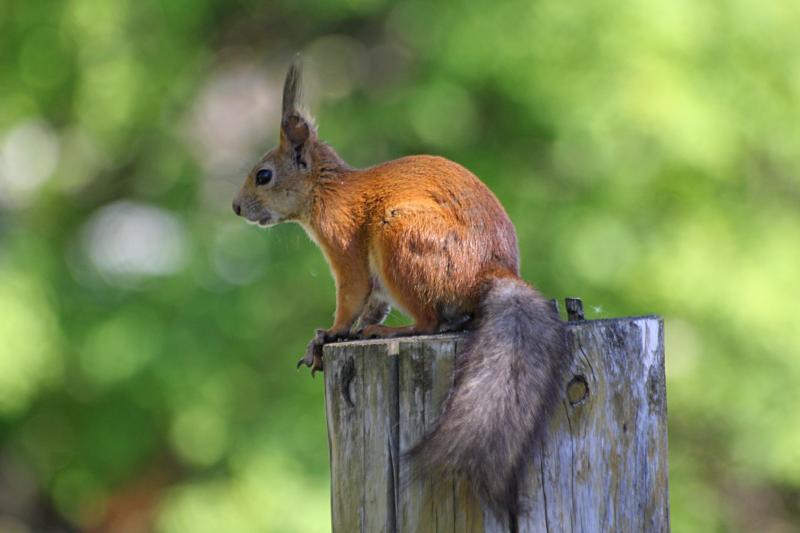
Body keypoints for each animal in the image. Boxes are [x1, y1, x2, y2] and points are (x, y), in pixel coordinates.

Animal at [231, 57, 568, 516]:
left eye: (263, 176)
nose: (235, 207)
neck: (326, 190)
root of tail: (491, 272)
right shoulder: (374, 283)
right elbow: (373, 302)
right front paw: (327, 339)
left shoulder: (347, 250)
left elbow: (351, 299)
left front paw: (332, 333)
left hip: (401, 237)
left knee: (430, 322)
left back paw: (391, 332)